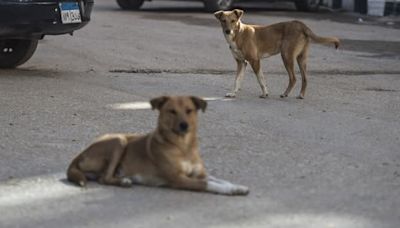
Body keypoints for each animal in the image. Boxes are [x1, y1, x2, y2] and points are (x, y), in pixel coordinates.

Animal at [67, 96, 248, 196]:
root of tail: (79, 154)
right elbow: (209, 184)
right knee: (104, 178)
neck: (183, 147)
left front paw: (237, 187)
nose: (184, 125)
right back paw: (124, 181)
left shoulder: (199, 174)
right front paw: (229, 191)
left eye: (189, 110)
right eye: (172, 111)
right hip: (119, 140)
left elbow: (219, 180)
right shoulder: (178, 180)